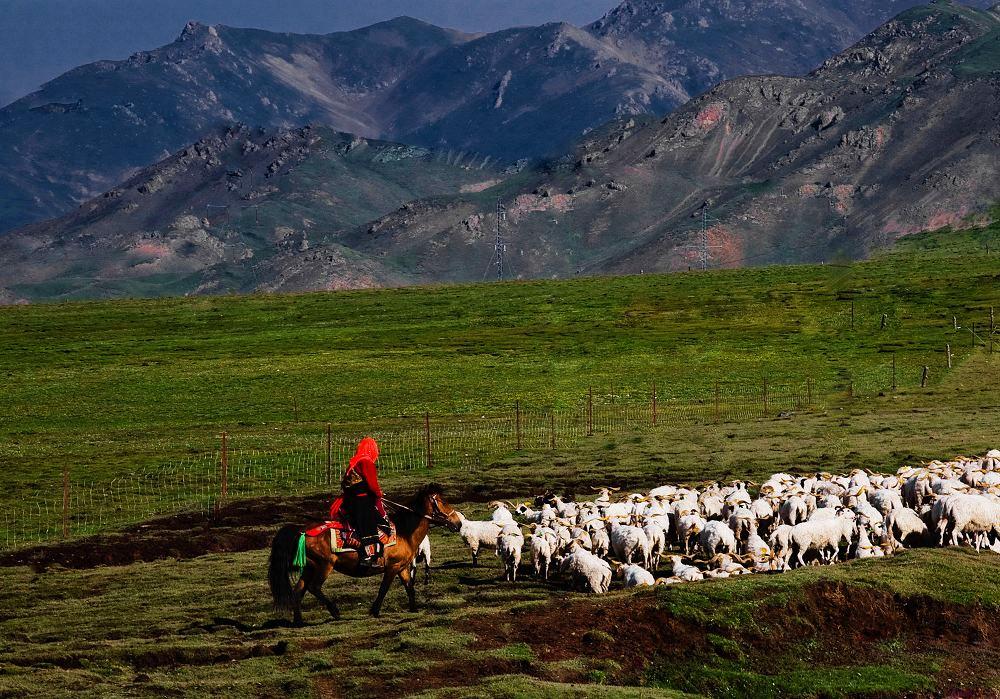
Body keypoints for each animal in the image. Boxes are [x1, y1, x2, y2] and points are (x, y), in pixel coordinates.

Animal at [270, 484, 464, 628]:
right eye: (443, 501)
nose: (458, 523)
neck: (404, 532)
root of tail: (303, 531)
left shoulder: (402, 567)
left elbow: (410, 587)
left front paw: (414, 609)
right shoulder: (392, 567)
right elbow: (384, 588)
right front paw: (375, 611)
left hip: (310, 567)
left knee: (299, 590)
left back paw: (298, 621)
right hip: (324, 565)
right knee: (314, 587)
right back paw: (335, 611)